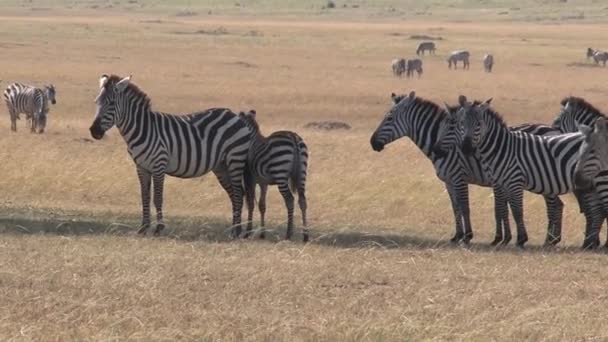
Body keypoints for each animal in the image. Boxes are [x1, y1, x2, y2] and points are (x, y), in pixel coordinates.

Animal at [88, 73, 252, 236]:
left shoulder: (159, 165)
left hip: (235, 159)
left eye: (111, 103)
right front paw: (143, 227)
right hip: (221, 166)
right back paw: (233, 229)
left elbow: (157, 198)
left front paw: (159, 228)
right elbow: (145, 196)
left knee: (238, 194)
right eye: (96, 102)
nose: (94, 131)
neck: (143, 128)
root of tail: (234, 115)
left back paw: (237, 231)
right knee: (233, 194)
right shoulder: (141, 167)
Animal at [239, 111, 312, 242]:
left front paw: (248, 232)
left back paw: (288, 234)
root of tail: (293, 137)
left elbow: (251, 204)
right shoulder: (263, 183)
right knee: (302, 201)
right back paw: (305, 235)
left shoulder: (250, 179)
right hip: (302, 173)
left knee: (290, 199)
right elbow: (262, 205)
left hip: (280, 173)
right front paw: (262, 234)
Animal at [452, 96, 600, 248]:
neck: (502, 148)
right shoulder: (500, 183)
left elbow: (515, 211)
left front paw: (519, 239)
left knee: (591, 208)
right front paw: (504, 239)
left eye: (479, 124)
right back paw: (585, 242)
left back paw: (584, 242)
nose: (466, 148)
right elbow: (503, 208)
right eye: (461, 123)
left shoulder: (512, 181)